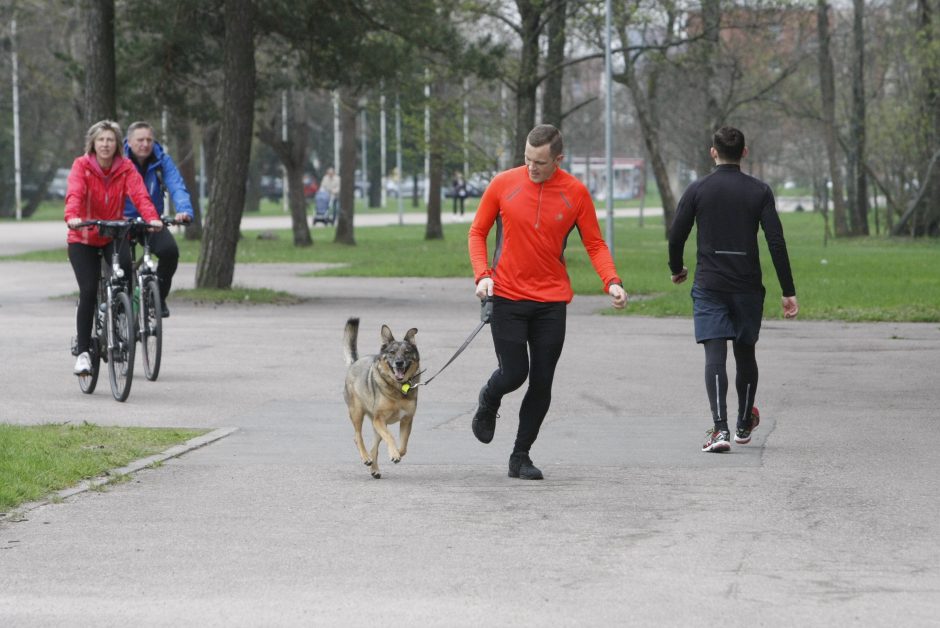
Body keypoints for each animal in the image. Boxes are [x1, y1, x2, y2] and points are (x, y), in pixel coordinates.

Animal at [344, 316, 420, 478]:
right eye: (392, 352)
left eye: (407, 352)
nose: (399, 363)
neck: (398, 388)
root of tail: (355, 362)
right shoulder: (380, 419)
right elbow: (390, 437)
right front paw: (394, 454)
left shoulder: (406, 420)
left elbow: (403, 447)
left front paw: (396, 453)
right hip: (357, 413)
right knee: (357, 436)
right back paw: (366, 457)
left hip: (375, 426)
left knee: (374, 448)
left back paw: (374, 468)